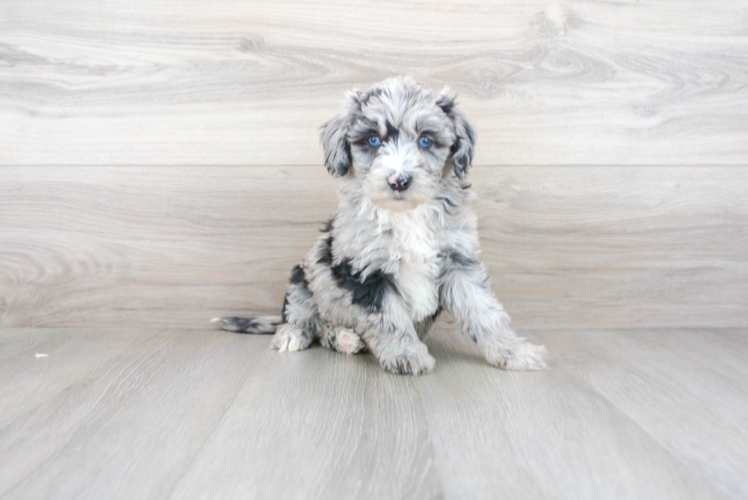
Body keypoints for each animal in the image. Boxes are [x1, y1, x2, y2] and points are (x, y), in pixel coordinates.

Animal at [213, 76, 548, 376]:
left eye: (426, 140)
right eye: (373, 139)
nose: (398, 180)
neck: (404, 214)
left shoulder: (459, 263)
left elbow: (485, 313)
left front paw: (514, 352)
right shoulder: (365, 270)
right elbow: (390, 319)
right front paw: (406, 356)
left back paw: (345, 338)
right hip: (304, 274)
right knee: (303, 315)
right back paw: (300, 334)